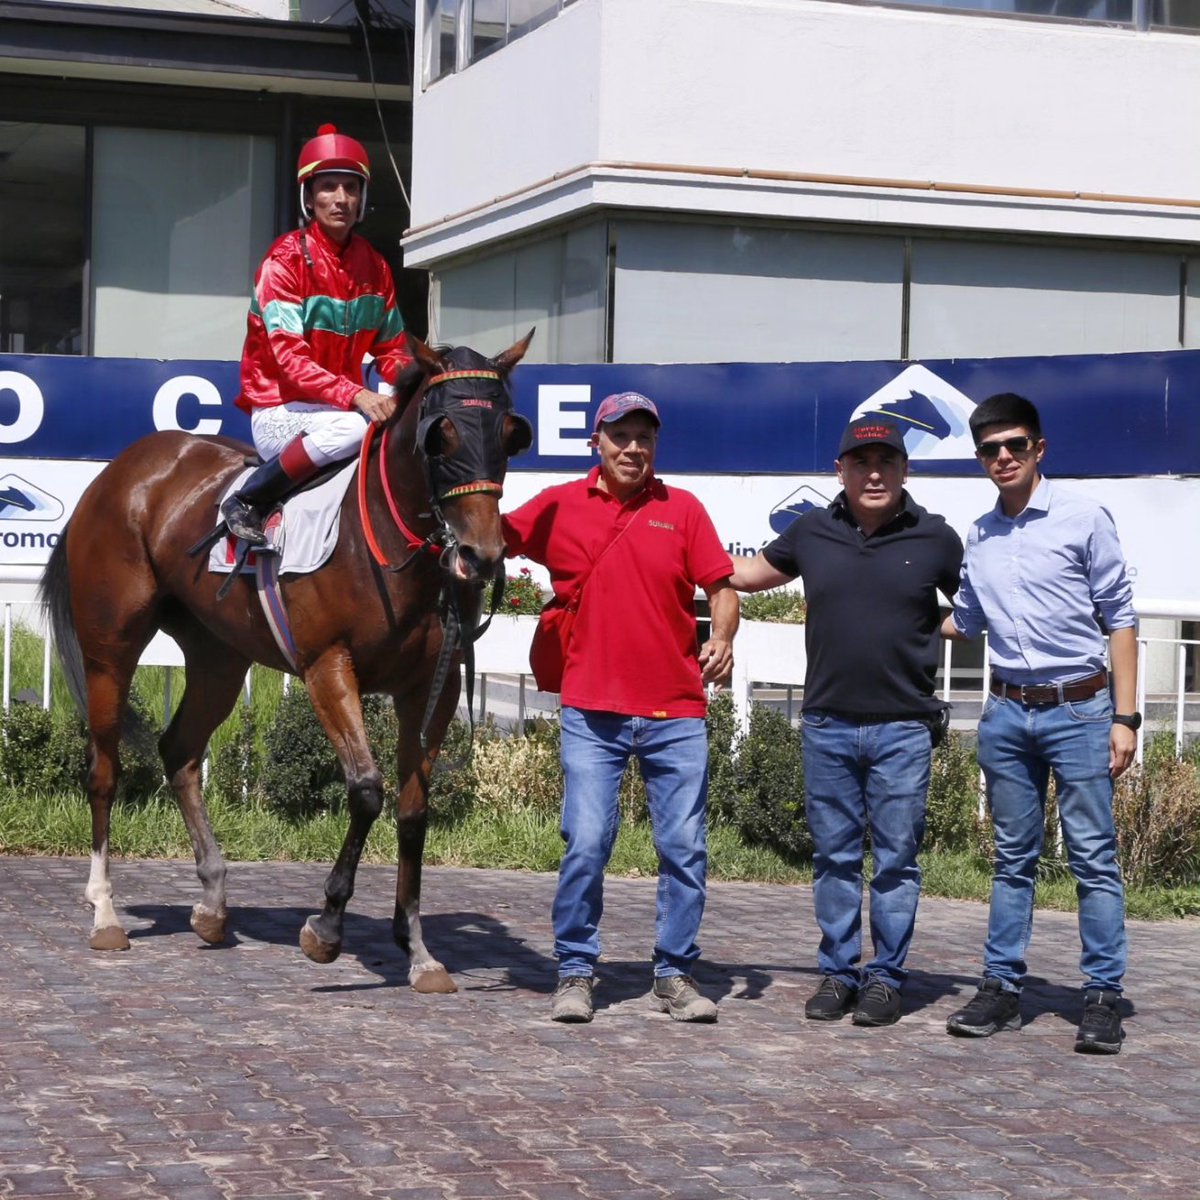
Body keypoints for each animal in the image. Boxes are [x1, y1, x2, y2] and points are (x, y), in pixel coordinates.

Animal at [41, 331, 535, 993]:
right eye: (442, 434)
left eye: (510, 433)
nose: (482, 556)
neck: (386, 543)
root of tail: (124, 469)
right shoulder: (328, 666)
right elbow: (367, 791)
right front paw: (325, 927)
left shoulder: (434, 686)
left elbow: (413, 810)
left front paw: (418, 949)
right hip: (110, 648)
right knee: (103, 770)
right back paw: (105, 912)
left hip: (218, 658)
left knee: (180, 750)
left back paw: (212, 905)